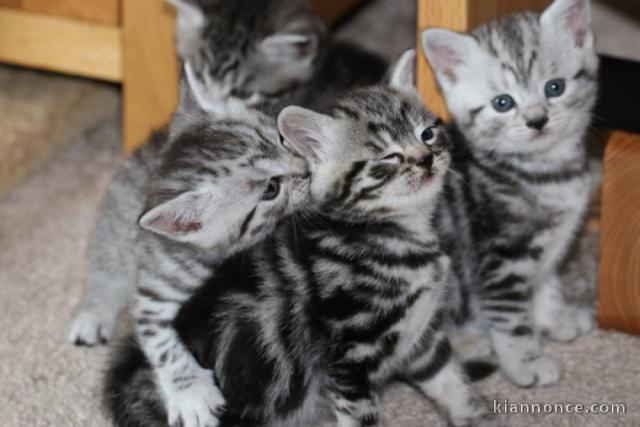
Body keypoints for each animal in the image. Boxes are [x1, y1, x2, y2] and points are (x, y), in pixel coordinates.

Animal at [104, 51, 500, 427]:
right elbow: (361, 416)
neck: (385, 233)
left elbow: (447, 379)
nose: (426, 159)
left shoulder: (419, 337)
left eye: (426, 134)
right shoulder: (350, 360)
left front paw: (472, 415)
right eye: (387, 157)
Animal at [422, 0, 596, 388]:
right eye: (502, 103)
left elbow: (547, 282)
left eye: (554, 87)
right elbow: (511, 317)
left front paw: (554, 317)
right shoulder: (500, 256)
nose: (537, 120)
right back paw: (470, 342)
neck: (544, 172)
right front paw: (525, 361)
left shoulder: (555, 239)